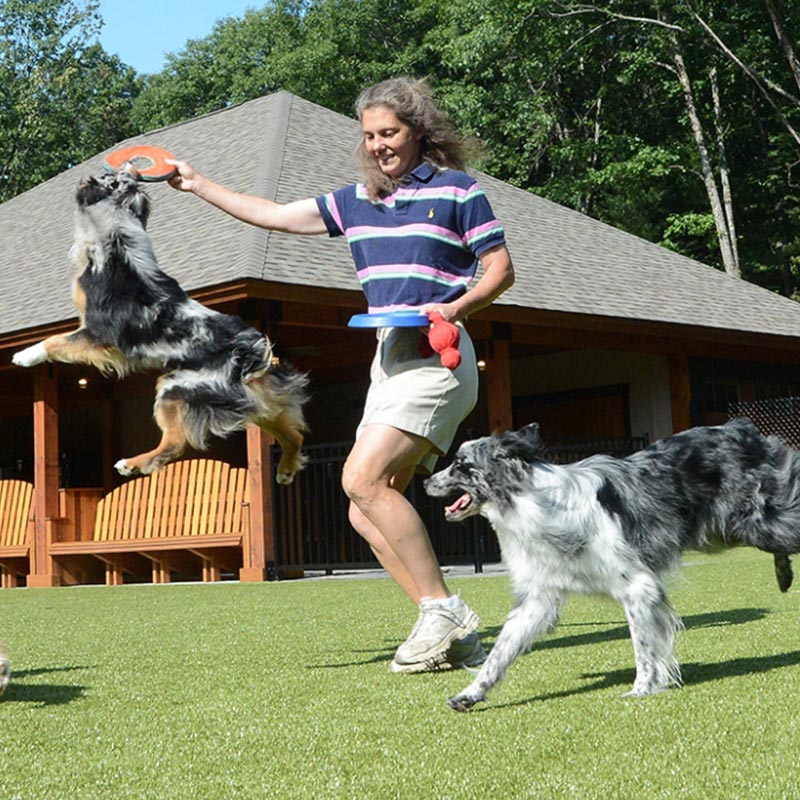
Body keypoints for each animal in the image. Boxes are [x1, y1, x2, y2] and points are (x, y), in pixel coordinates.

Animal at [424, 418, 800, 712]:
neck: (533, 503)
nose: (426, 480)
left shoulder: (638, 588)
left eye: (461, 464)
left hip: (762, 523)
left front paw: (642, 689)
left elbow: (643, 647)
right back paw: (784, 576)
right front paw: (471, 693)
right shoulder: (537, 599)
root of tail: (742, 428)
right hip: (724, 532)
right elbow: (500, 653)